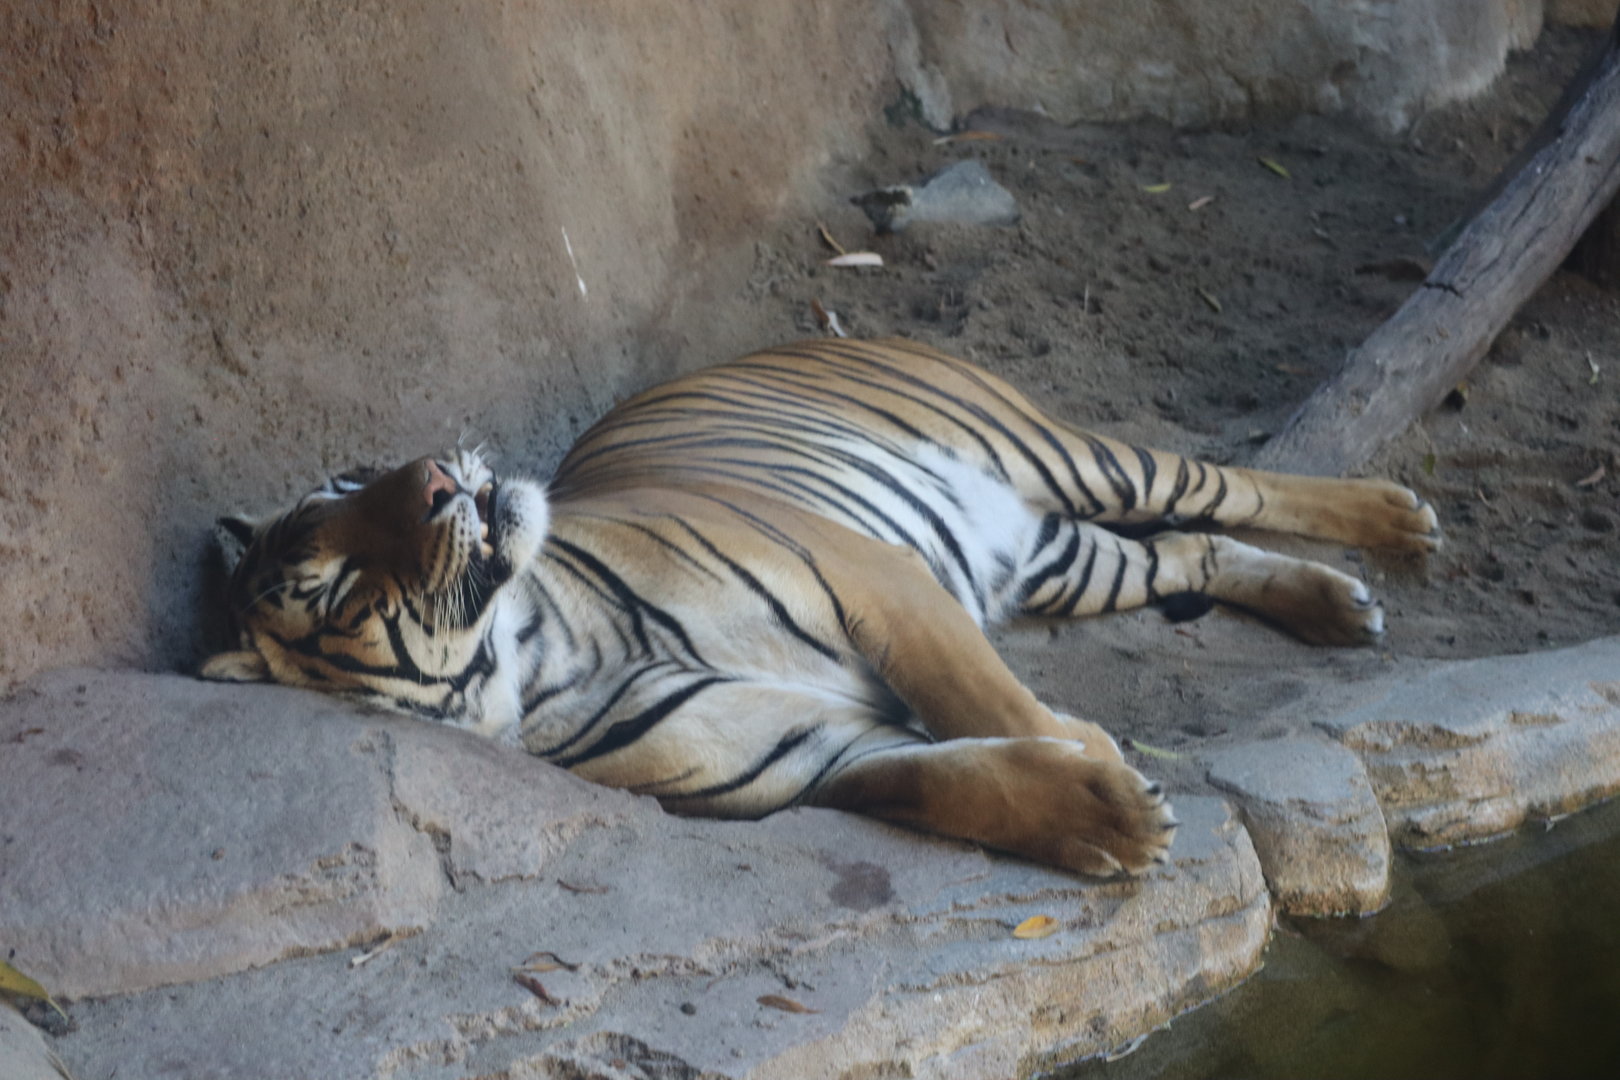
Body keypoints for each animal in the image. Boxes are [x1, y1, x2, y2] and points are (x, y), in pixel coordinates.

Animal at [203, 338, 1438, 876]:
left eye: (354, 480)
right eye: (338, 589)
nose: (435, 477)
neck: (540, 651)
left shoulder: (875, 581)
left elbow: (988, 702)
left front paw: (1094, 759)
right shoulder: (810, 756)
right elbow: (952, 781)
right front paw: (1108, 816)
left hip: (1068, 461)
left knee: (1225, 484)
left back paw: (1393, 521)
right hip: (1057, 556)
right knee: (1193, 546)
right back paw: (1335, 605)